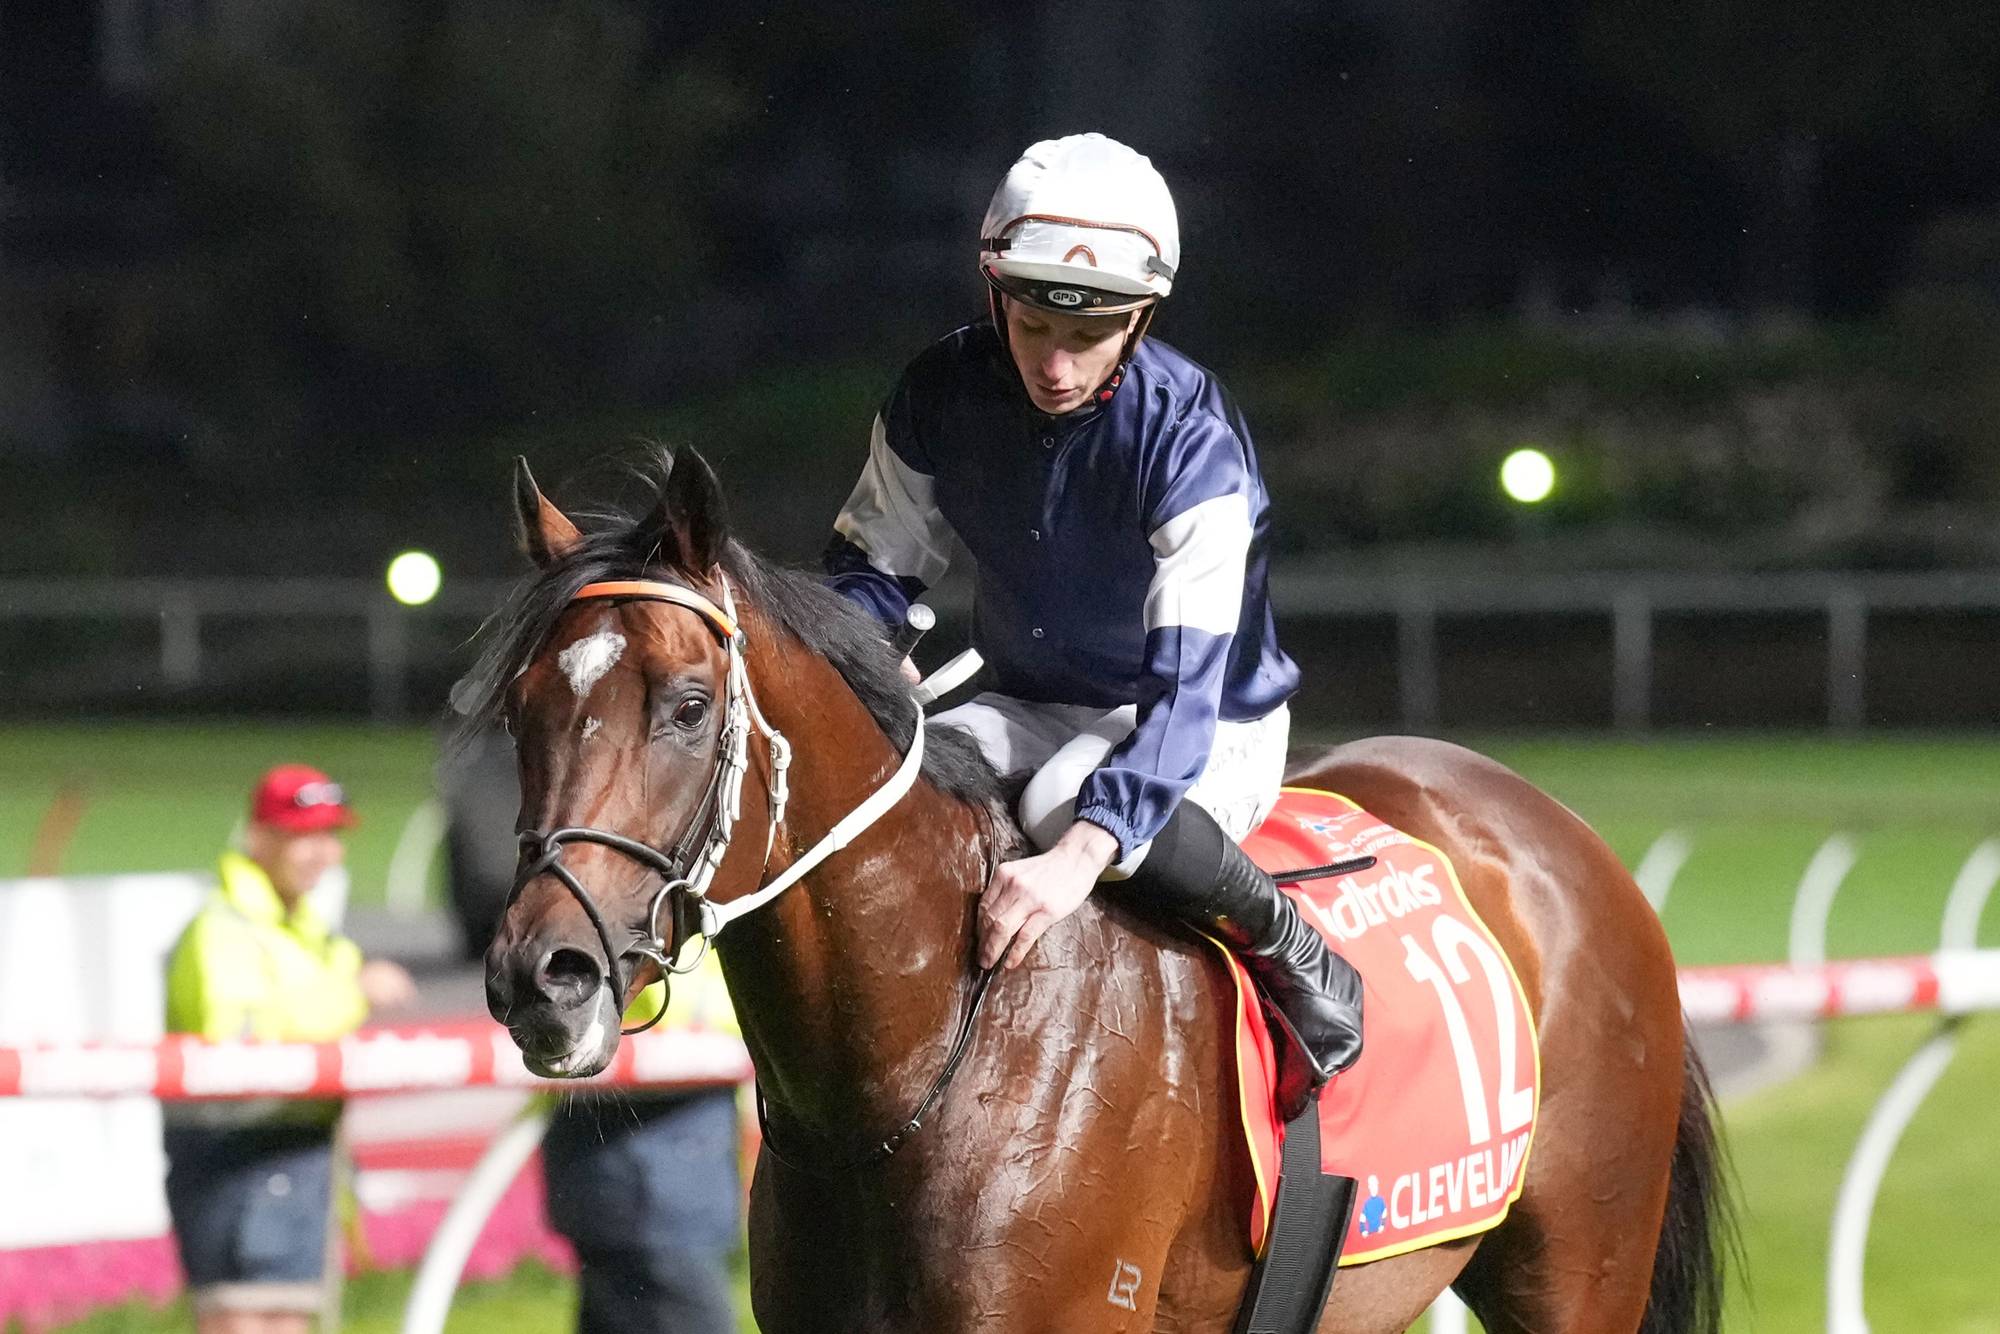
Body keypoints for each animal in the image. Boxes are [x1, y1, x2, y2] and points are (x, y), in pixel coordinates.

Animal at [470, 448, 1729, 1333]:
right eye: (521, 708)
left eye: (686, 705)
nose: (543, 975)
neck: (924, 1056)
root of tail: (1560, 835)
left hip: (1577, 1266)